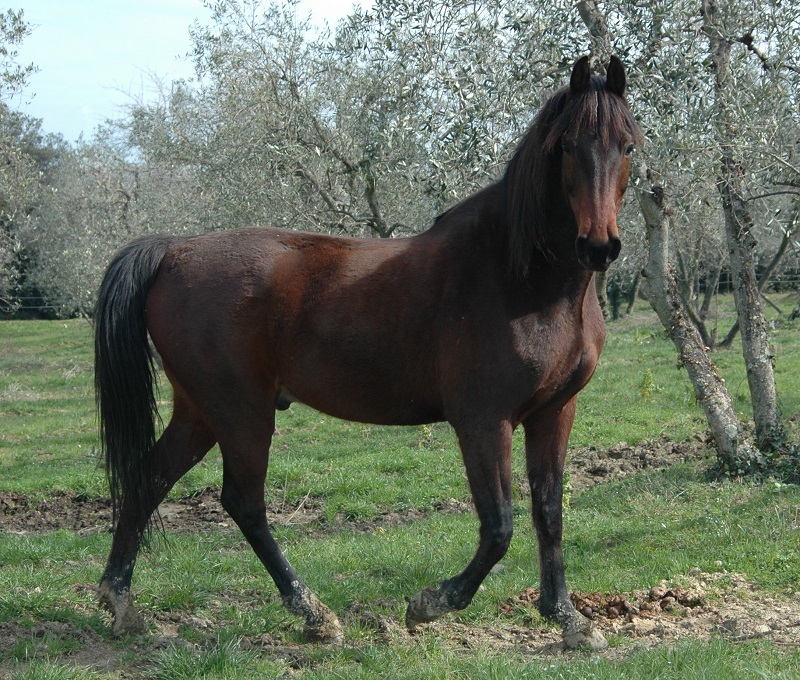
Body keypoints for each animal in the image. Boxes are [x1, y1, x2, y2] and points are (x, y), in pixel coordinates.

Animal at [94, 55, 641, 649]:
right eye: (566, 146)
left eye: (627, 146)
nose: (598, 245)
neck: (519, 278)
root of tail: (174, 251)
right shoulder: (483, 420)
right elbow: (499, 526)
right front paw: (432, 604)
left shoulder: (554, 412)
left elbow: (549, 511)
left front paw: (566, 616)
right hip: (241, 414)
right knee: (244, 502)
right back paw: (312, 612)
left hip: (200, 413)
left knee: (149, 480)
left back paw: (120, 601)